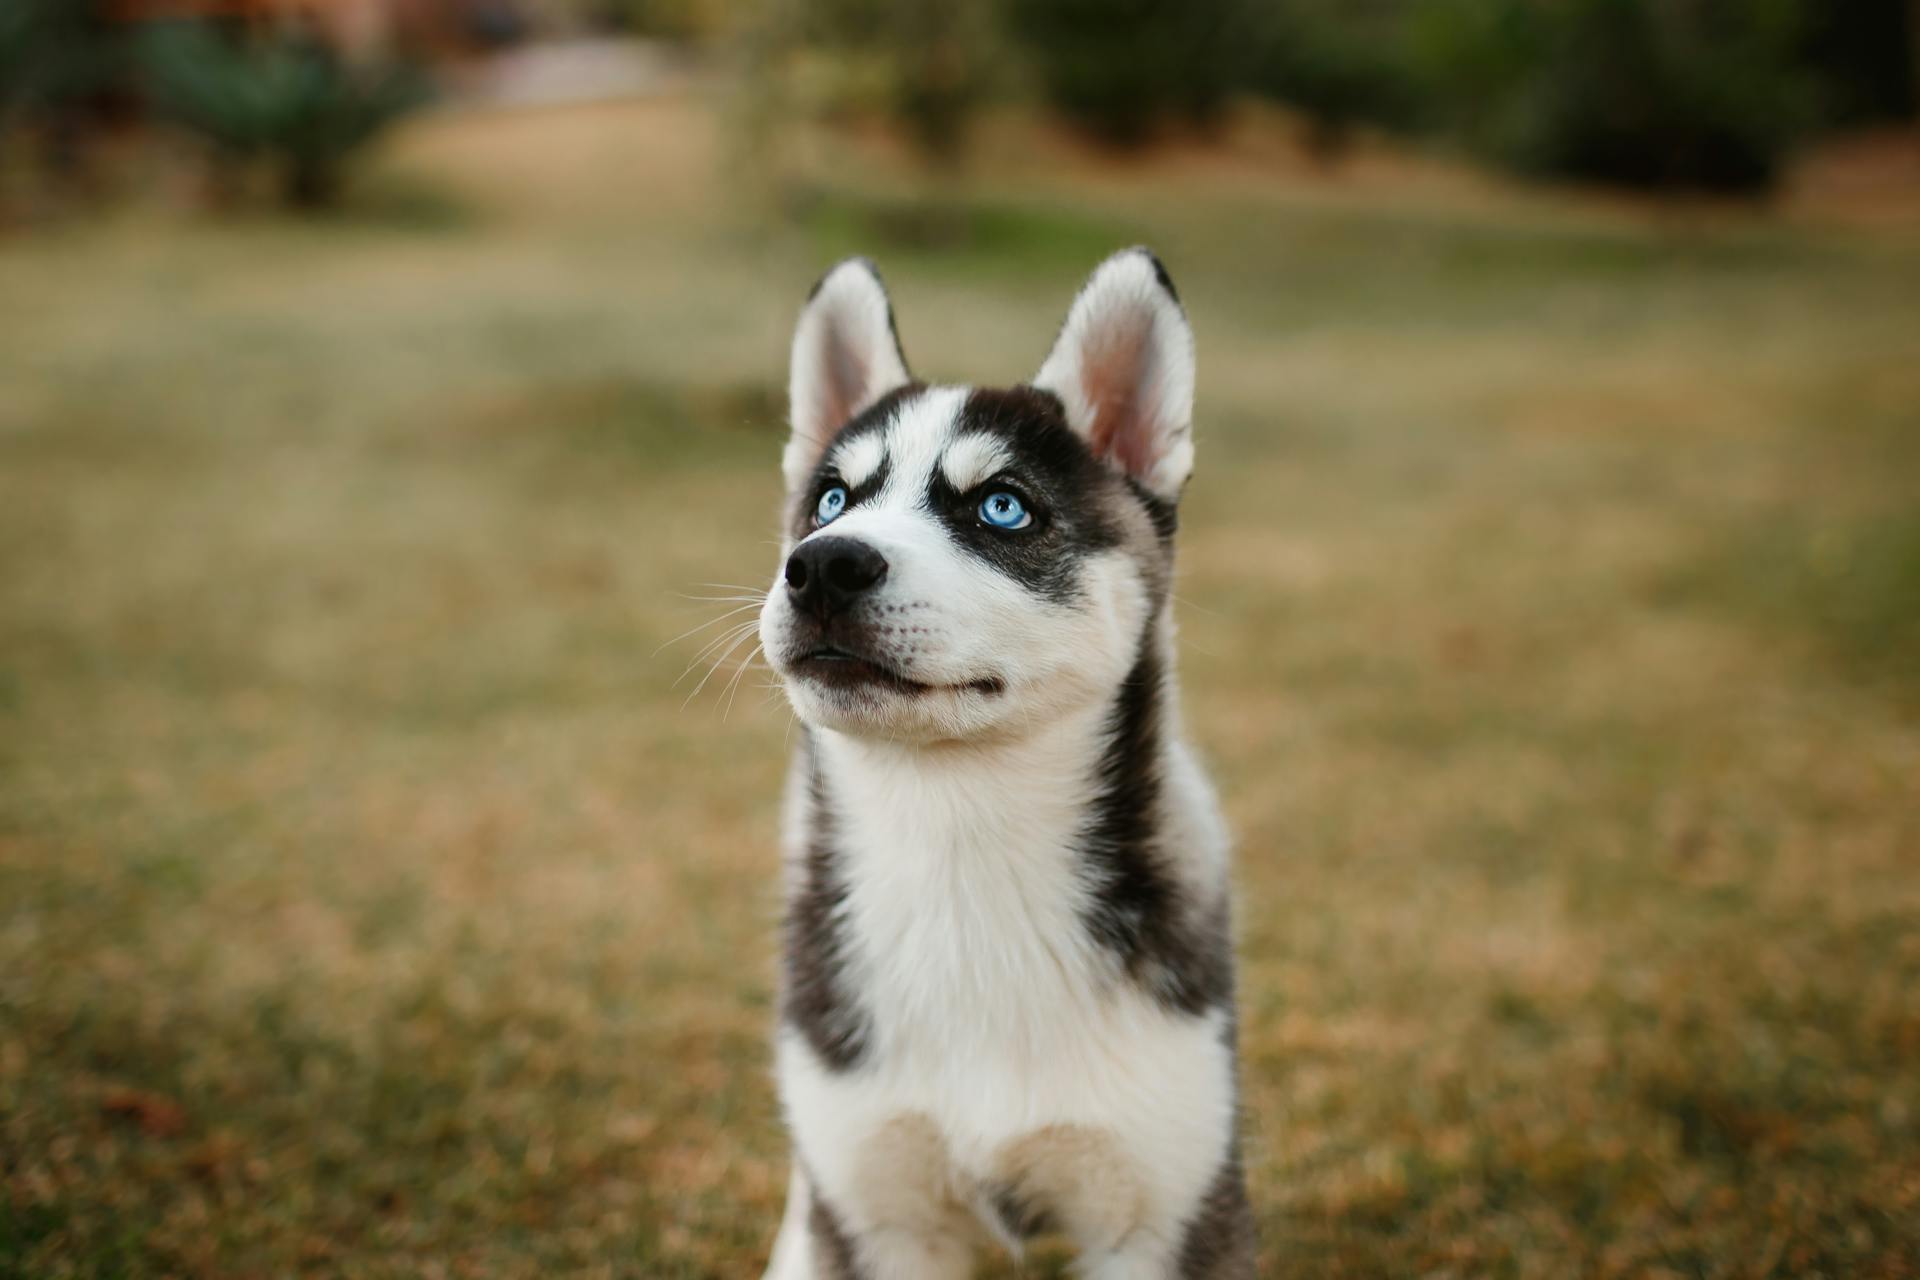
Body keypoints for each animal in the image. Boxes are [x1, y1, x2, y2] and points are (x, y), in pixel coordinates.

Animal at [756, 253, 1251, 1280]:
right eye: (831, 499)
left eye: (1002, 507)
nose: (822, 566)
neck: (958, 850)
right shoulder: (872, 1209)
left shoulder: (1171, 1211)